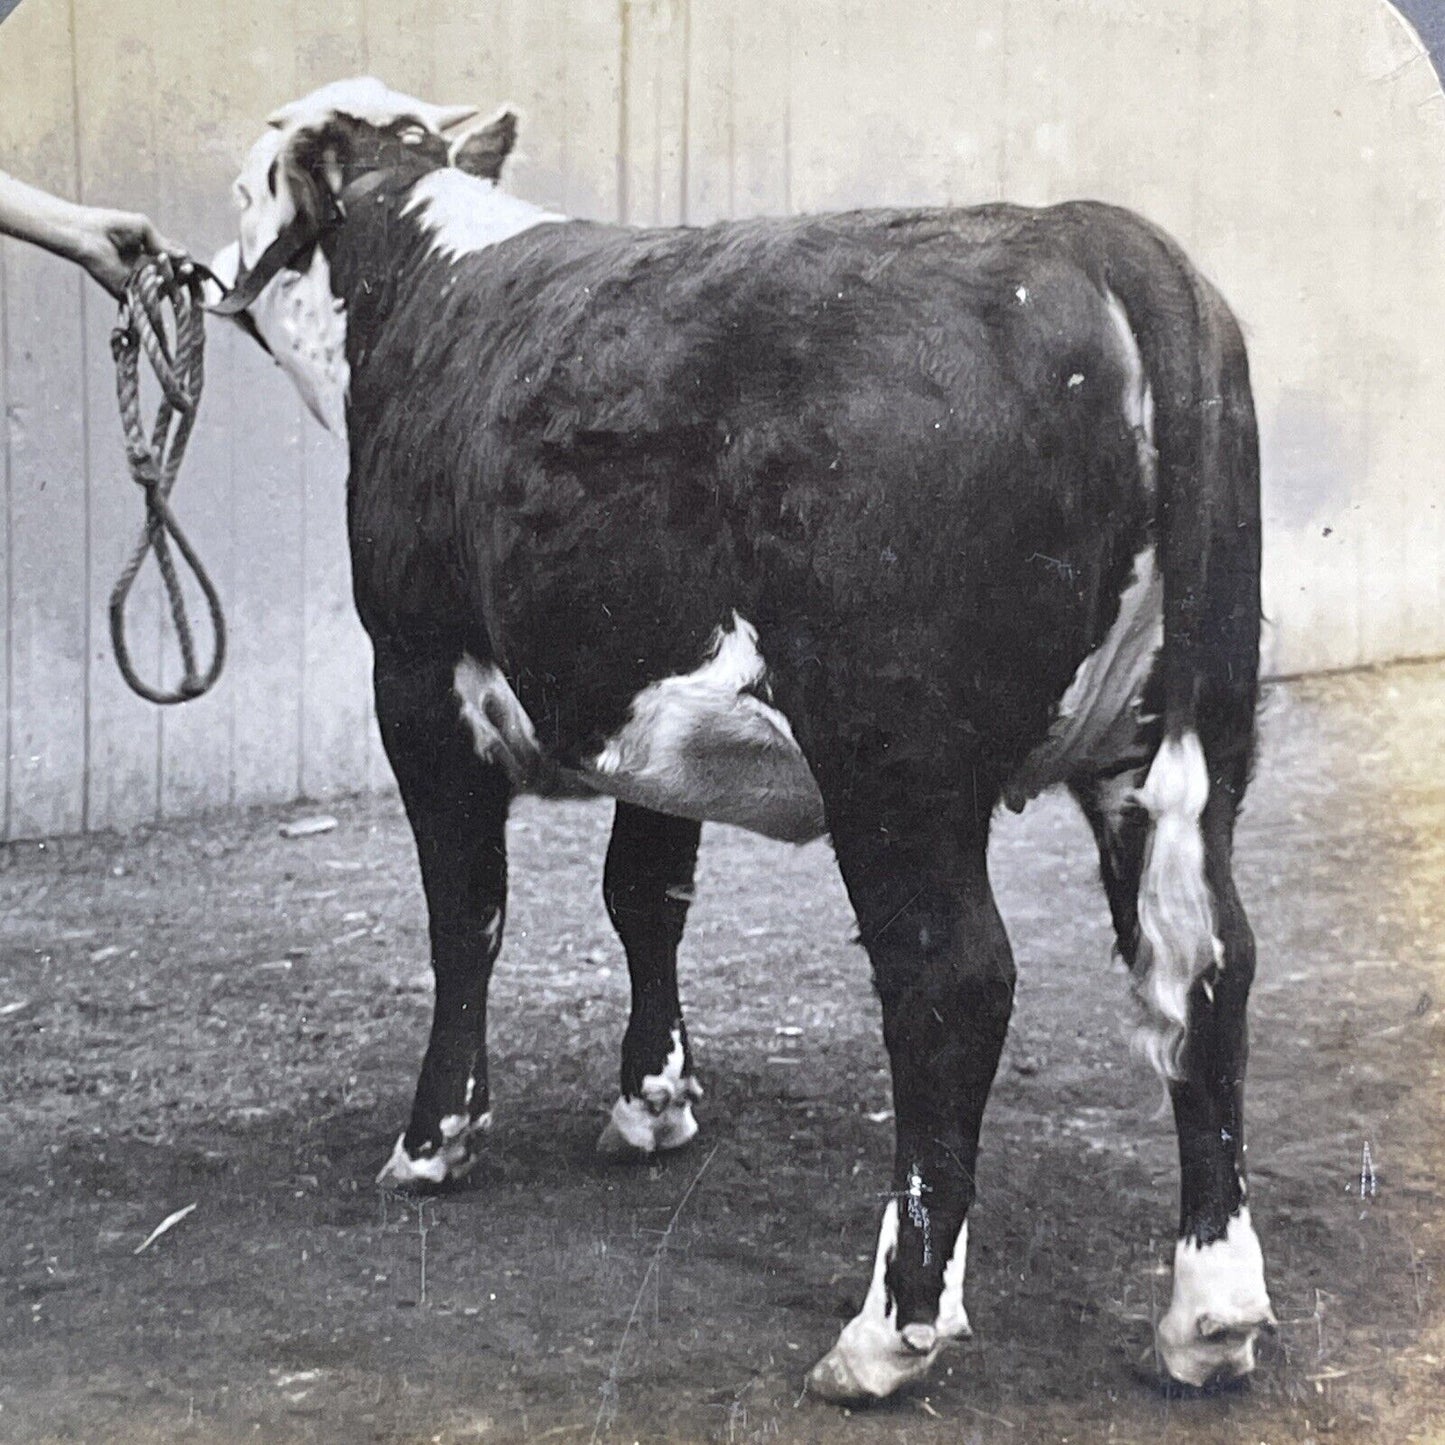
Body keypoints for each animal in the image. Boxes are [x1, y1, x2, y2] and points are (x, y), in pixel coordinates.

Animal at [213, 79, 1277, 1398]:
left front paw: (434, 1140)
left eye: (245, 181)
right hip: (1183, 736)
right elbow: (644, 892)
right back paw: (1207, 1314)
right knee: (1208, 961)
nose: (207, 272)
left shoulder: (416, 672)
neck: (429, 276)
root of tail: (1092, 231)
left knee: (952, 981)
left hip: (895, 762)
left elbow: (465, 913)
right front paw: (652, 1101)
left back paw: (888, 1332)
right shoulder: (646, 713)